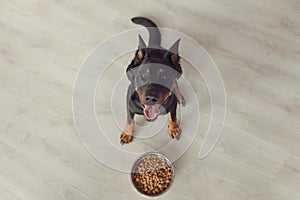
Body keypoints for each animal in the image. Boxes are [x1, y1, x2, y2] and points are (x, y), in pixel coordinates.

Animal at [120, 16, 185, 144]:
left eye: (165, 77)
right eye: (143, 76)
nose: (151, 98)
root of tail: (154, 45)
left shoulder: (172, 105)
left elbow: (173, 116)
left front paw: (173, 128)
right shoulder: (129, 104)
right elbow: (130, 120)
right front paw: (127, 133)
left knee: (176, 83)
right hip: (128, 71)